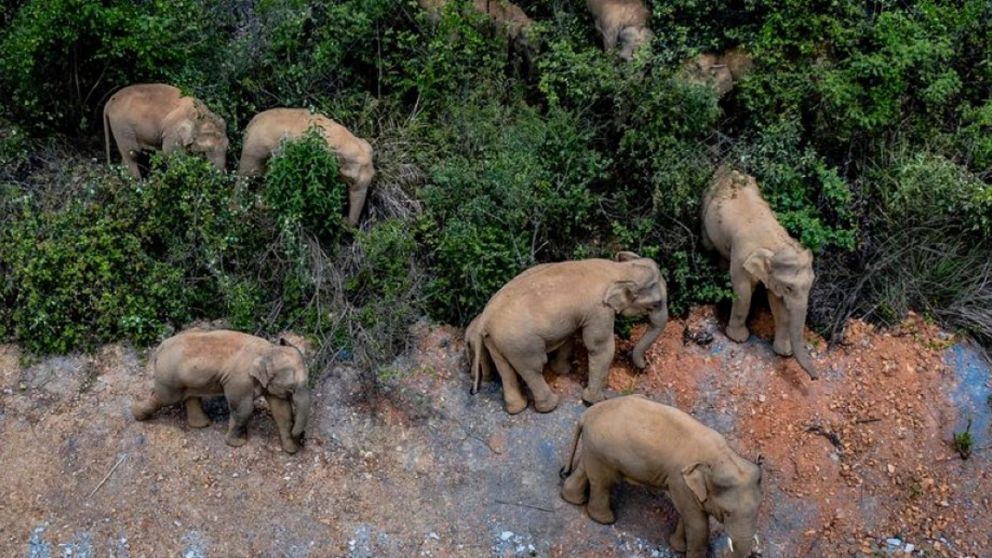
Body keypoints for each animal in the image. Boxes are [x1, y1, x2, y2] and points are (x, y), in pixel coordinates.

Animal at [131, 329, 312, 454]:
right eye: (292, 388)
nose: (302, 438)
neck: (268, 350)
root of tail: (159, 348)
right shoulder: (239, 381)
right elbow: (244, 410)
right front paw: (238, 443)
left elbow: (282, 411)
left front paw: (291, 450)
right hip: (169, 376)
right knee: (163, 398)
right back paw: (137, 415)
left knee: (190, 396)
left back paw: (203, 424)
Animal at [238, 108, 375, 226]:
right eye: (351, 180)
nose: (343, 219)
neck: (347, 140)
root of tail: (250, 124)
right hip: (253, 150)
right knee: (245, 178)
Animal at [467, 252, 668, 414]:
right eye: (657, 303)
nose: (643, 367)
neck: (618, 270)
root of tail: (485, 319)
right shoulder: (599, 310)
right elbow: (600, 348)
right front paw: (595, 401)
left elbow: (569, 336)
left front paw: (563, 371)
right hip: (521, 344)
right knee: (533, 367)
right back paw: (550, 406)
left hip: (497, 341)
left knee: (505, 369)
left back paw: (516, 408)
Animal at [561, 395, 762, 558]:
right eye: (727, 513)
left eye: (758, 511)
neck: (723, 457)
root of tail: (587, 414)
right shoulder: (680, 480)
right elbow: (698, 525)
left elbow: (686, 516)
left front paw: (677, 547)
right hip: (604, 451)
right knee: (603, 482)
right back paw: (605, 520)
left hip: (593, 447)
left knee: (585, 470)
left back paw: (572, 499)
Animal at [701, 166, 818, 379]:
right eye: (789, 288)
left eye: (811, 284)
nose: (815, 378)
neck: (775, 244)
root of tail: (727, 168)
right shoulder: (741, 255)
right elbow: (743, 292)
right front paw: (738, 339)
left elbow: (777, 303)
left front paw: (783, 352)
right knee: (707, 244)